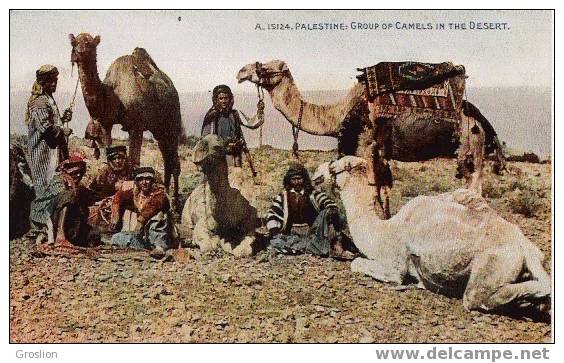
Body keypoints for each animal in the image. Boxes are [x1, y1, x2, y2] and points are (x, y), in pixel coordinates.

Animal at [68, 33, 183, 208]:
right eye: (74, 43)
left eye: (89, 43)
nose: (78, 53)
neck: (113, 95)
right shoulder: (105, 125)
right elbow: (107, 157)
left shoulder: (136, 127)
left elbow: (135, 163)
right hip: (159, 129)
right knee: (167, 159)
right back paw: (166, 193)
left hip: (172, 122)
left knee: (174, 161)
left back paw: (175, 202)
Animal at [312, 156, 552, 316]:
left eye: (334, 165)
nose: (315, 174)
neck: (383, 230)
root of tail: (525, 248)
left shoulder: (395, 264)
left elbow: (359, 264)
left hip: (494, 264)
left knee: (476, 296)